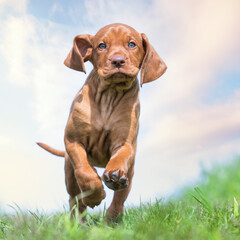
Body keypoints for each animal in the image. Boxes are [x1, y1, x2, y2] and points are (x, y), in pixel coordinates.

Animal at [37, 23, 166, 221]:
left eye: (132, 44)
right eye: (102, 46)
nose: (118, 61)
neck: (109, 96)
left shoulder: (125, 143)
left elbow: (120, 157)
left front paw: (114, 175)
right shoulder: (73, 141)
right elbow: (84, 172)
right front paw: (95, 196)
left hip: (131, 172)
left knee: (120, 198)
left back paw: (112, 218)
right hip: (69, 172)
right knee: (75, 199)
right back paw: (78, 222)